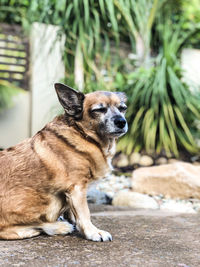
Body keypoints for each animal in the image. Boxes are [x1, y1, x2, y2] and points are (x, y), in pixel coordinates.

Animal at [0, 84, 128, 243]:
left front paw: (75, 222)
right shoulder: (77, 189)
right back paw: (56, 227)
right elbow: (85, 213)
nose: (122, 122)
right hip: (49, 201)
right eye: (99, 110)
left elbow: (74, 213)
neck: (84, 135)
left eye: (123, 108)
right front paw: (93, 232)